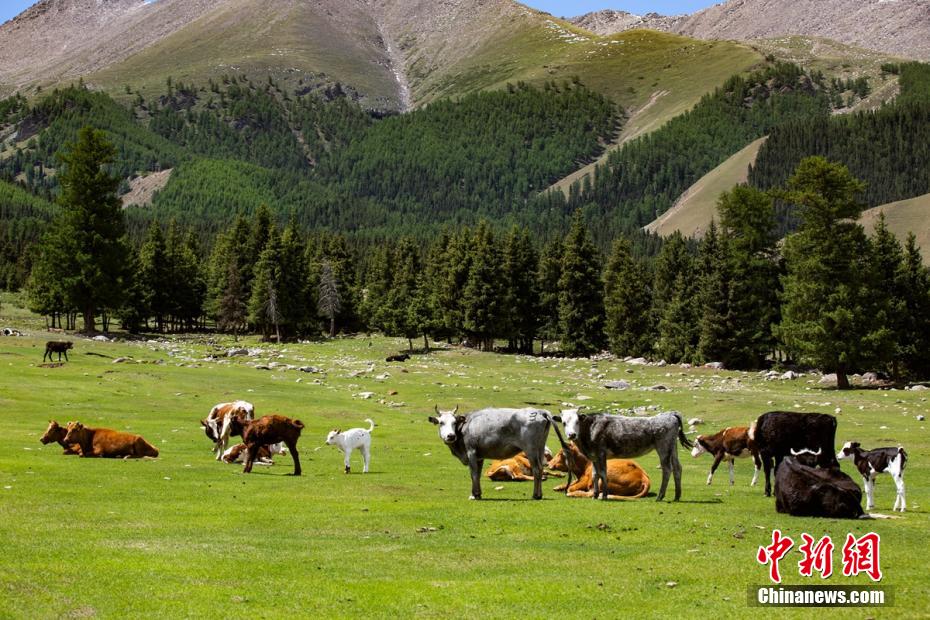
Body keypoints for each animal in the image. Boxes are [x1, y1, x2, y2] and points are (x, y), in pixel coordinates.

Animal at [426, 404, 564, 502]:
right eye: (441, 422)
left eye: (454, 422)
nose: (450, 436)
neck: (464, 427)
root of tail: (540, 411)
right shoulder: (479, 457)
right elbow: (477, 474)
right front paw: (478, 494)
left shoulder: (471, 452)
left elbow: (473, 475)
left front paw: (474, 495)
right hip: (540, 448)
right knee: (540, 469)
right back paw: (539, 494)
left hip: (531, 449)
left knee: (536, 469)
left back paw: (535, 495)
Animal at [560, 410, 688, 502]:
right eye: (564, 422)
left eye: (577, 421)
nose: (572, 434)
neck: (591, 428)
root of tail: (670, 414)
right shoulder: (594, 456)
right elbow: (595, 474)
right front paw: (595, 495)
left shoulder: (601, 453)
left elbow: (603, 473)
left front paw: (604, 495)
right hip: (673, 447)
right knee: (677, 467)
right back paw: (677, 496)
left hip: (663, 447)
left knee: (667, 469)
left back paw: (660, 496)